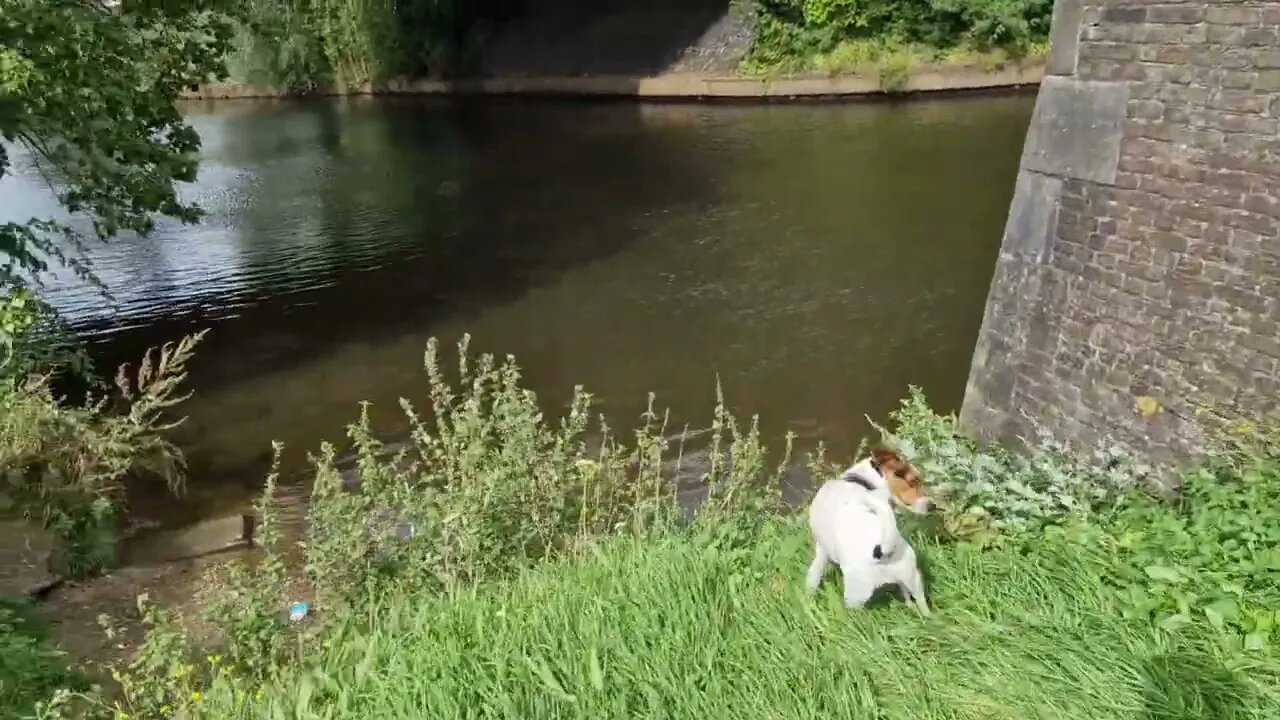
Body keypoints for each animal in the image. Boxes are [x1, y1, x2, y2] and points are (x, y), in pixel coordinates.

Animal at [808, 445, 931, 614]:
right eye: (914, 481)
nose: (933, 506)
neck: (859, 481)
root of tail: (881, 550)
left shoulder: (821, 551)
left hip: (854, 597)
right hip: (913, 576)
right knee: (919, 601)